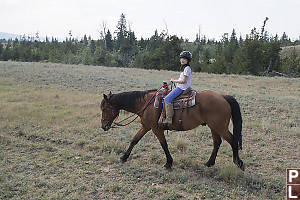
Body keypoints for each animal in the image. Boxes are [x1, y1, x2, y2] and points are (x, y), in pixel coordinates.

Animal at [99, 88, 245, 171]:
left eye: (105, 108)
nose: (104, 126)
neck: (146, 103)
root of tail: (223, 97)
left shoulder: (156, 129)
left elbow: (164, 145)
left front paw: (168, 163)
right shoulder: (145, 126)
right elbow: (134, 140)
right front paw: (123, 157)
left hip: (220, 127)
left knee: (233, 140)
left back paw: (238, 163)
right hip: (214, 127)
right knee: (217, 142)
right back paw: (209, 163)